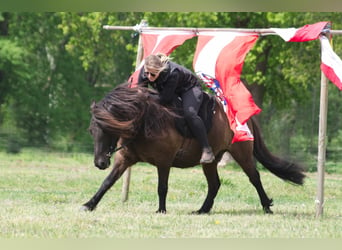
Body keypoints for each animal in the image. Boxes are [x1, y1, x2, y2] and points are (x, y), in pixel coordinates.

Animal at [82, 83, 304, 214]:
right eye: (91, 131)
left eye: (108, 129)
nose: (100, 162)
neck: (147, 121)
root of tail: (242, 116)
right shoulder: (124, 159)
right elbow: (107, 182)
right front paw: (89, 204)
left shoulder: (164, 162)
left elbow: (162, 187)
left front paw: (161, 210)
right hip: (211, 161)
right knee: (214, 184)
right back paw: (202, 210)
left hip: (242, 154)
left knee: (254, 178)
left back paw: (267, 206)